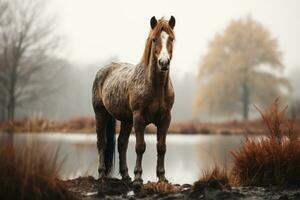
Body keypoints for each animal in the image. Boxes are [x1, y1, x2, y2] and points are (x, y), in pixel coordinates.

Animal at [92, 16, 176, 187]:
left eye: (171, 38)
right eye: (154, 39)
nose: (163, 63)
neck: (156, 87)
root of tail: (103, 70)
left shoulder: (166, 119)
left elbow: (161, 147)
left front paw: (162, 177)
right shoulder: (139, 118)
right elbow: (140, 147)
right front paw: (138, 178)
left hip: (126, 120)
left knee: (122, 144)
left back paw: (125, 175)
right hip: (101, 114)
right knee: (101, 142)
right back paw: (102, 174)